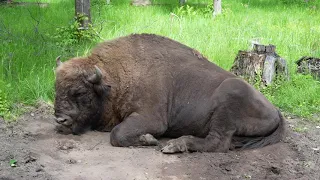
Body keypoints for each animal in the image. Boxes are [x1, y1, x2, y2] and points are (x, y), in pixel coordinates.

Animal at [53, 33, 284, 153]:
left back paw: (175, 145)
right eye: (55, 88)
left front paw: (149, 140)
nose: (60, 120)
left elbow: (117, 134)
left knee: (218, 142)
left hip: (228, 101)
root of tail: (276, 110)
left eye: (80, 92)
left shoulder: (153, 119)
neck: (116, 76)